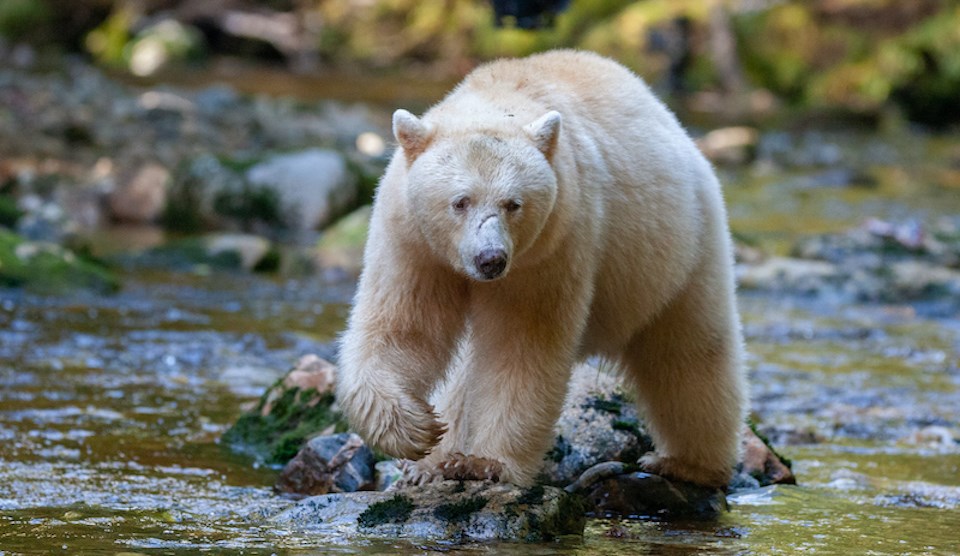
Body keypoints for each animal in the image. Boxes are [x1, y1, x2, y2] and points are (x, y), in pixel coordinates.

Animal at [338, 50, 752, 488]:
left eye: (513, 203)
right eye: (460, 201)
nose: (490, 258)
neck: (497, 96)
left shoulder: (551, 249)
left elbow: (522, 345)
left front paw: (487, 463)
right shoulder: (413, 244)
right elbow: (404, 326)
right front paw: (417, 433)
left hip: (680, 251)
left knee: (690, 352)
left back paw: (688, 463)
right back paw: (435, 464)